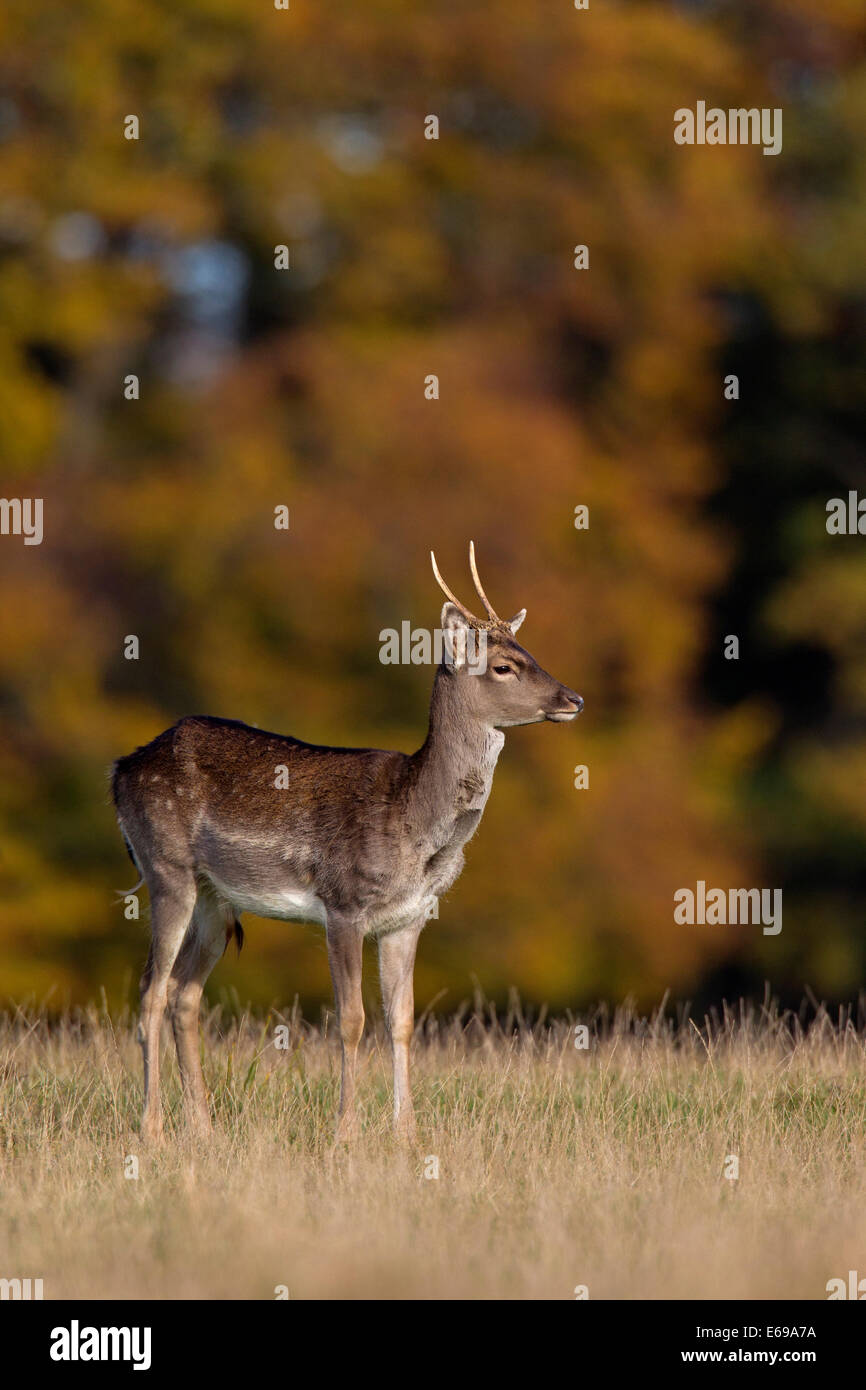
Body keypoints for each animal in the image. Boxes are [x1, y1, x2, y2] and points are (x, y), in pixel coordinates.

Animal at [109, 542, 583, 1139]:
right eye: (503, 665)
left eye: (529, 651)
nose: (574, 698)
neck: (418, 828)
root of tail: (120, 772)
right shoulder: (343, 902)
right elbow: (352, 1020)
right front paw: (346, 1130)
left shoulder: (409, 916)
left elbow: (402, 1021)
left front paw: (407, 1132)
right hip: (165, 868)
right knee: (150, 990)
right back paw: (151, 1129)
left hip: (216, 899)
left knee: (183, 995)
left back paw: (203, 1127)